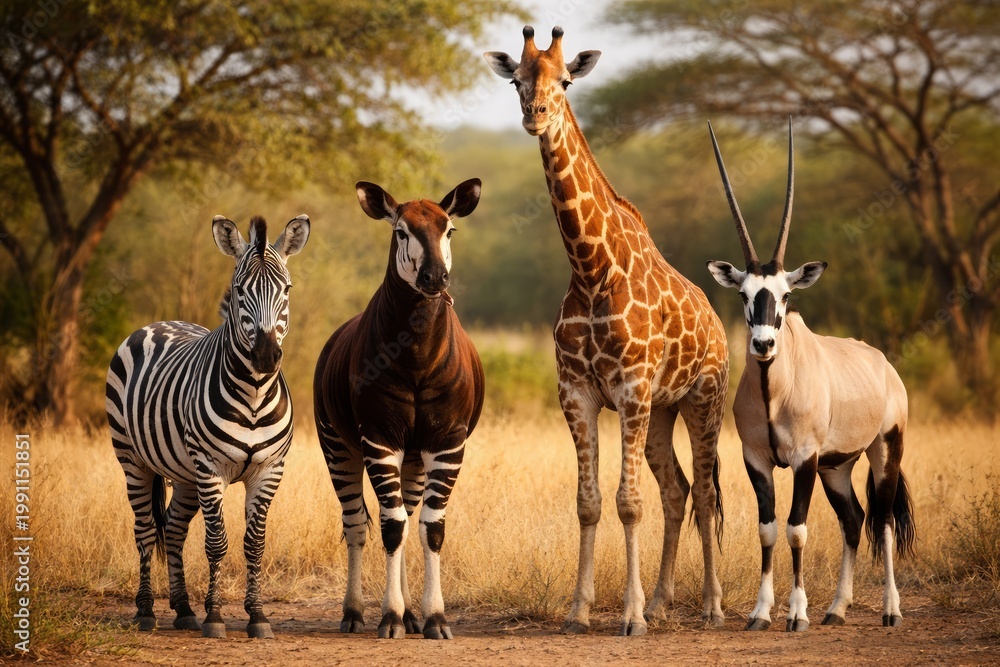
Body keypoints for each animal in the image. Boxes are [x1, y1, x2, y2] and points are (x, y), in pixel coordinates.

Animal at [105, 214, 310, 639]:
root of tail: (158, 322)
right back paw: (146, 611)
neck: (254, 394)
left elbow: (255, 544)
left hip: (184, 474)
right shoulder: (211, 467)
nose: (266, 356)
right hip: (133, 459)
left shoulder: (270, 469)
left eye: (286, 289)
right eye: (239, 290)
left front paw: (257, 616)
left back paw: (183, 609)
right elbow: (217, 543)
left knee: (173, 529)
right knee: (145, 530)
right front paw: (215, 616)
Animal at [486, 26, 729, 635]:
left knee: (704, 492)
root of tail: (719, 322)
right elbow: (591, 502)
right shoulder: (577, 392)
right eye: (517, 80)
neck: (592, 269)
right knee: (677, 490)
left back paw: (711, 606)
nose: (536, 115)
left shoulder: (631, 391)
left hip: (703, 399)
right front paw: (579, 611)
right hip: (664, 411)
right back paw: (664, 601)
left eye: (566, 80)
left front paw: (630, 615)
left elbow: (628, 503)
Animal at [705, 120, 915, 631]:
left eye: (785, 295)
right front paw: (761, 612)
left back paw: (890, 610)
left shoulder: (802, 459)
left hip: (884, 449)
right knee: (854, 519)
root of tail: (885, 365)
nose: (763, 345)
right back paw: (836, 609)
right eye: (743, 294)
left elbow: (797, 529)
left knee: (882, 519)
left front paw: (795, 613)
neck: (774, 392)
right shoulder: (757, 459)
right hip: (836, 467)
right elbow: (767, 528)